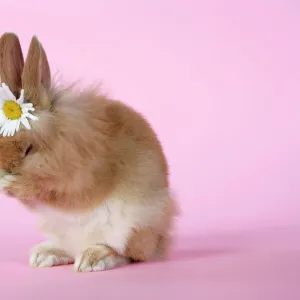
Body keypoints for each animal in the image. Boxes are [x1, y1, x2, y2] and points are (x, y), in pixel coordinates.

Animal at [0, 32, 178, 272]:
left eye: (29, 149)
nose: (4, 170)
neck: (62, 142)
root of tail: (158, 242)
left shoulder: (81, 183)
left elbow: (54, 193)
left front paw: (12, 184)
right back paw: (44, 255)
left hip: (130, 226)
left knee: (129, 254)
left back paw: (91, 259)